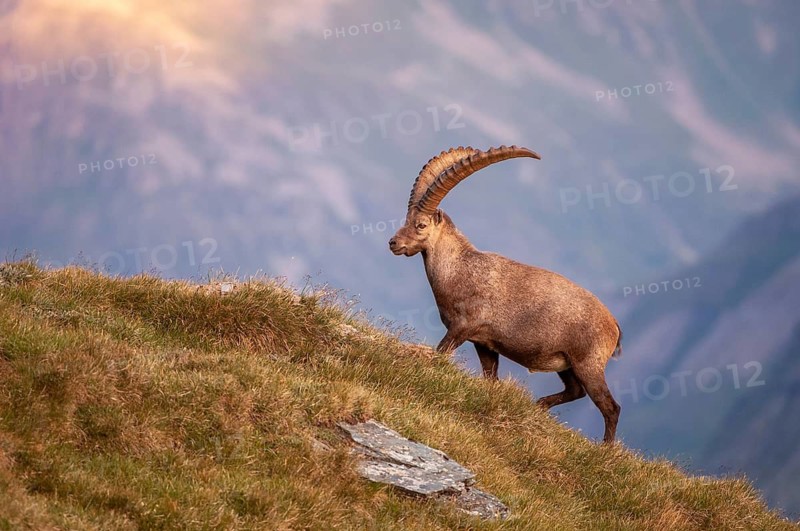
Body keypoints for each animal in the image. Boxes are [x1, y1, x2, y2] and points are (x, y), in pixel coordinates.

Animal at [388, 146, 623, 443]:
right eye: (406, 220)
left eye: (420, 225)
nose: (393, 243)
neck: (460, 269)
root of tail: (614, 326)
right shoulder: (484, 343)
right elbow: (491, 379)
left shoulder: (461, 329)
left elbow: (441, 354)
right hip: (567, 365)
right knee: (576, 391)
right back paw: (540, 405)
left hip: (588, 365)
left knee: (610, 407)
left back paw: (606, 448)